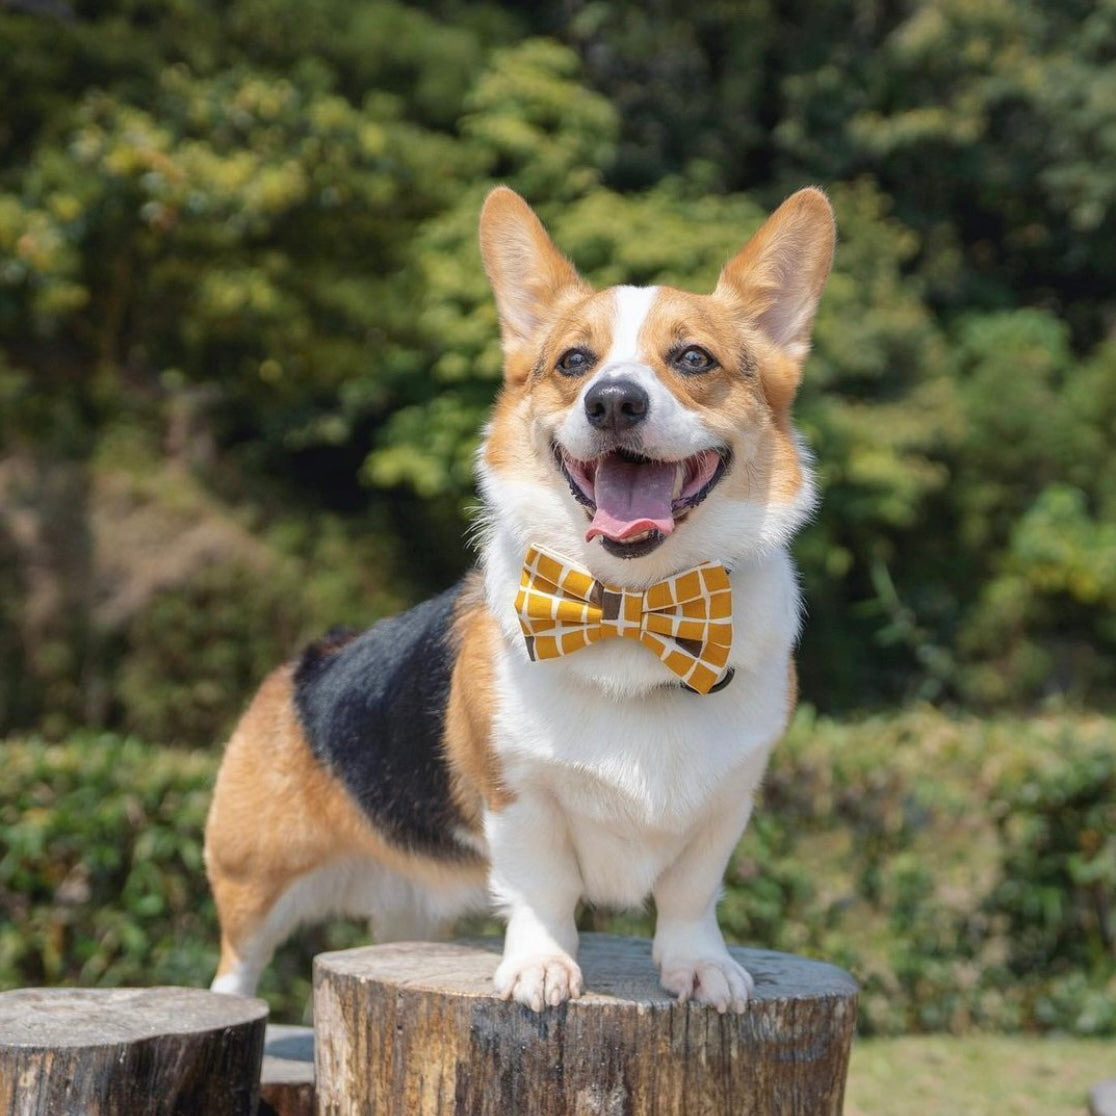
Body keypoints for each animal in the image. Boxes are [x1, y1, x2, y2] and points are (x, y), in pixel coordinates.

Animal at [205, 187, 834, 1017]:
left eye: (693, 358)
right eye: (574, 362)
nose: (613, 402)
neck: (634, 603)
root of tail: (306, 664)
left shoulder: (725, 804)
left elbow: (690, 896)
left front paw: (701, 967)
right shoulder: (518, 796)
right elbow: (543, 890)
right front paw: (541, 966)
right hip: (253, 876)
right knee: (235, 963)